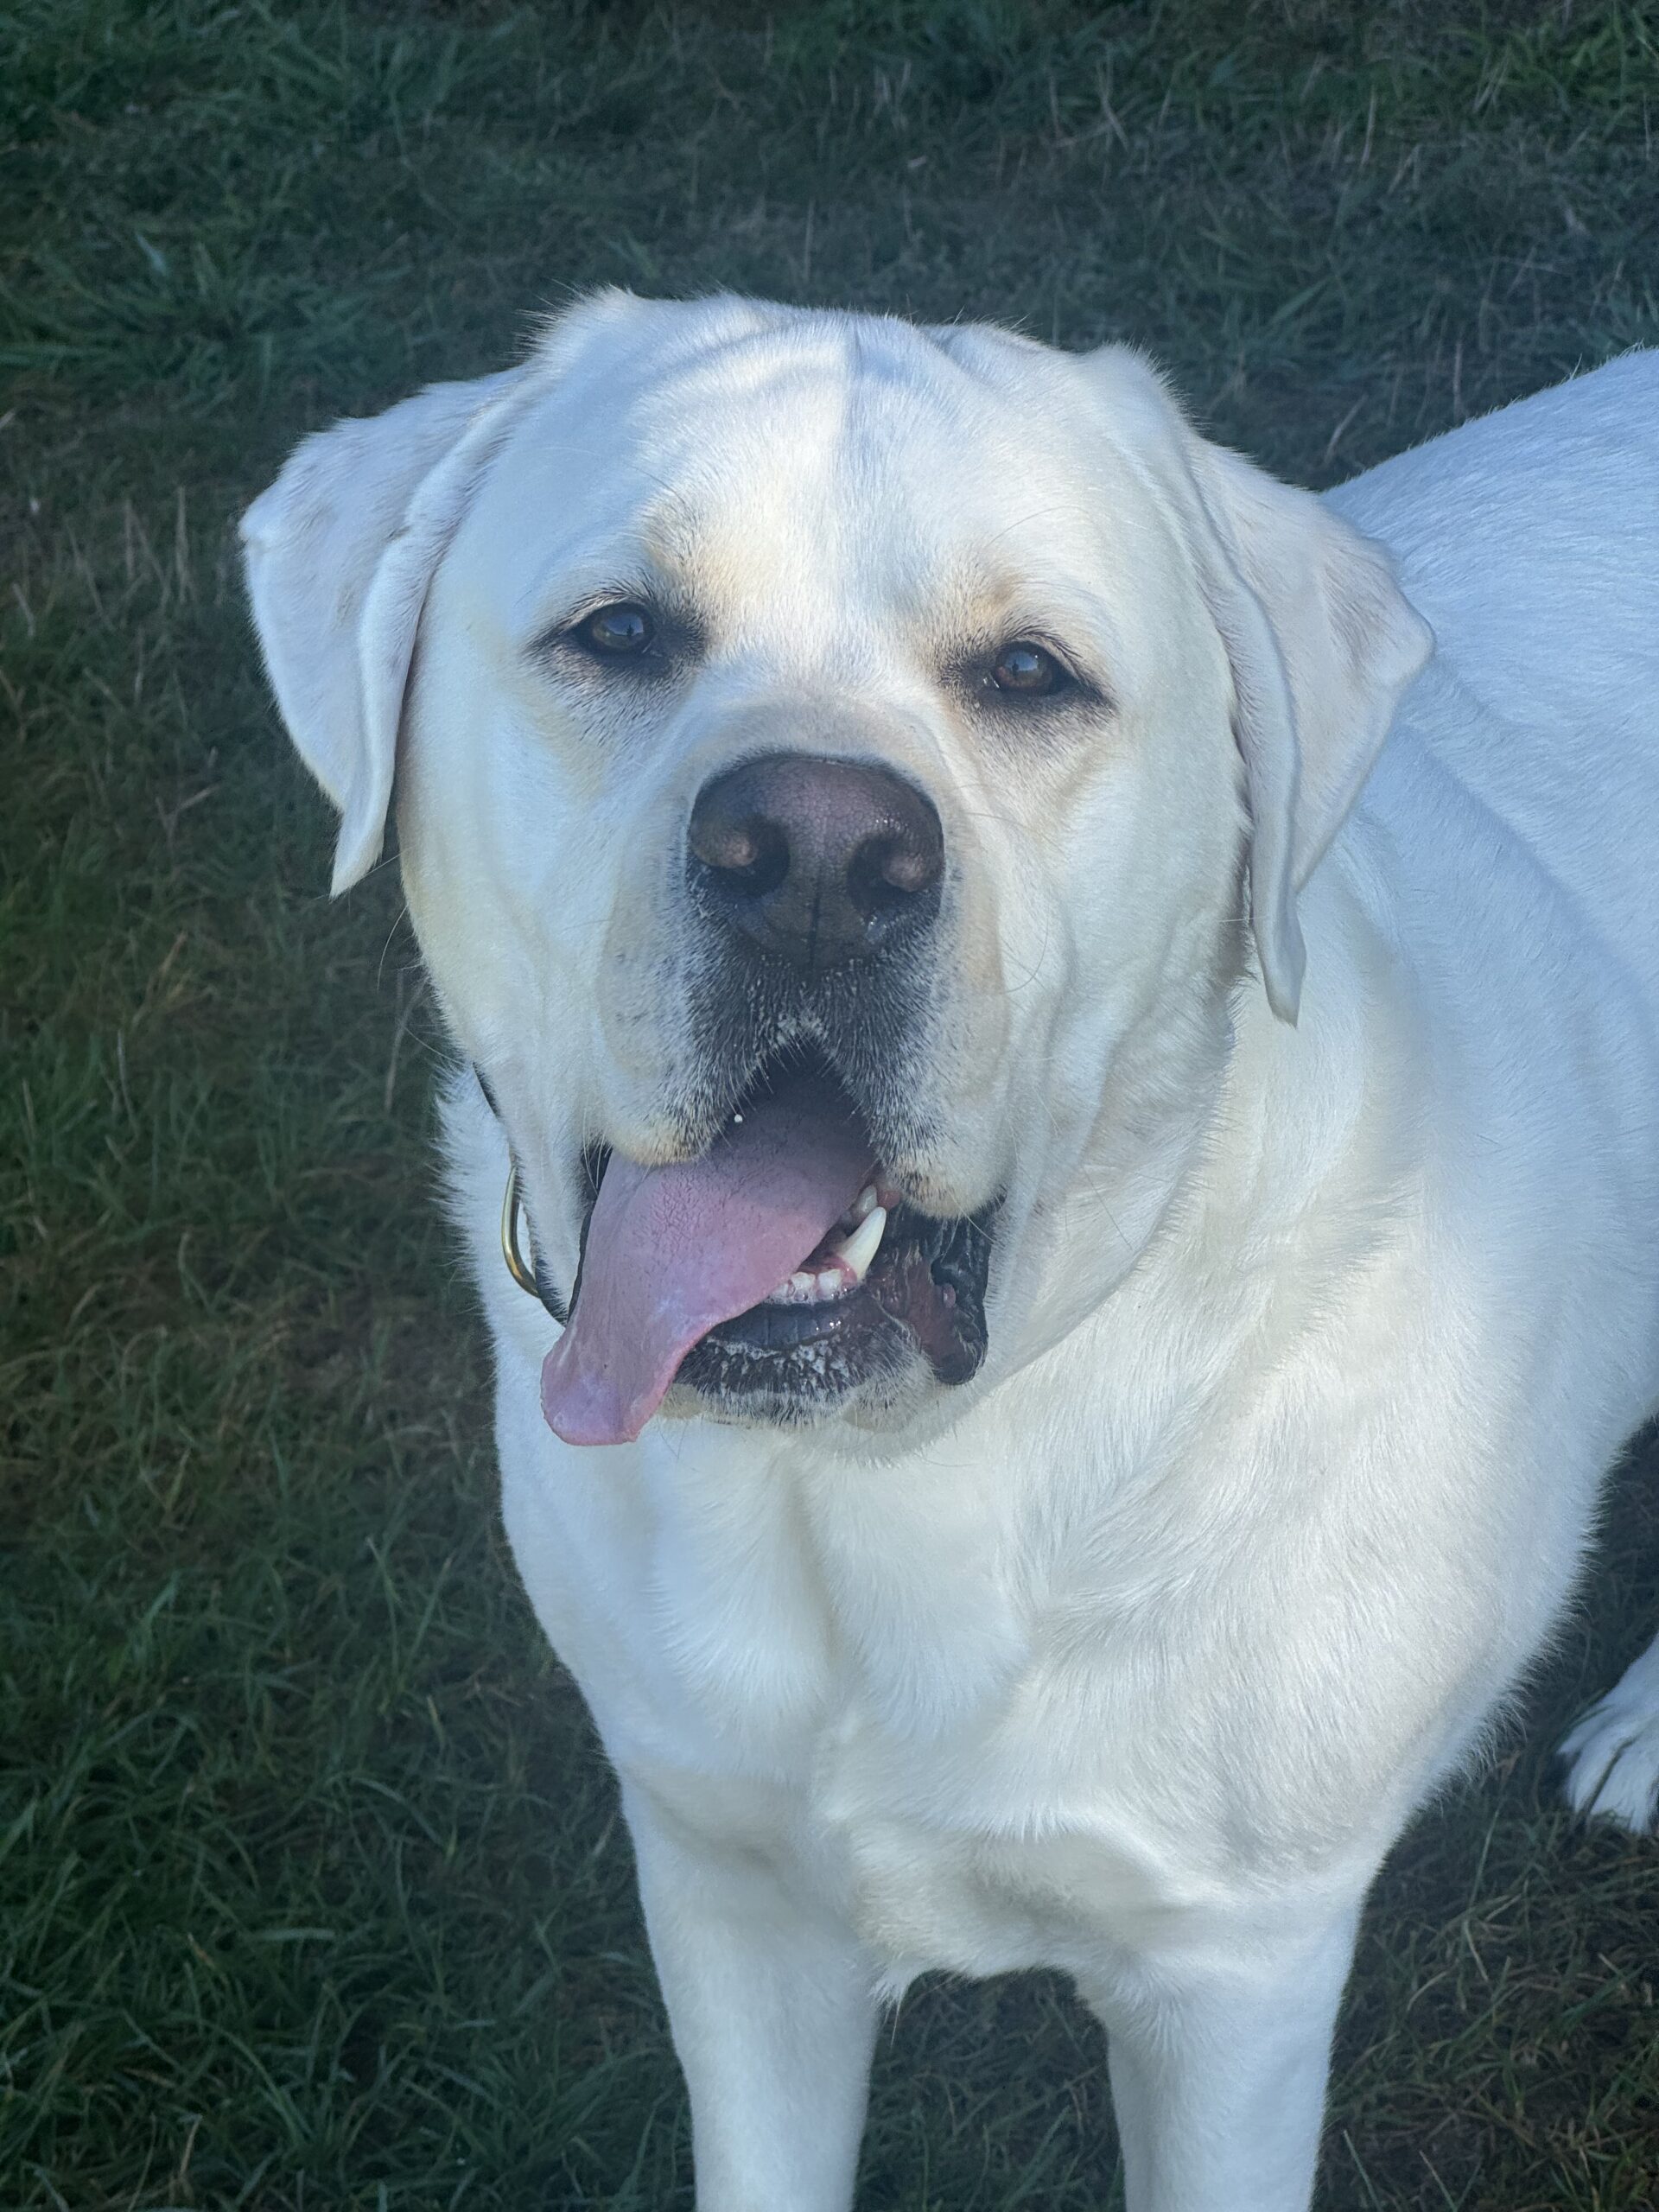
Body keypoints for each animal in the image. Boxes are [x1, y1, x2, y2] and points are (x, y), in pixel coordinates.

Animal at [243, 293, 1659, 2211]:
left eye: (1032, 675)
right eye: (620, 632)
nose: (815, 853)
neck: (893, 1483)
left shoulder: (1235, 1975)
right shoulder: (726, 1885)